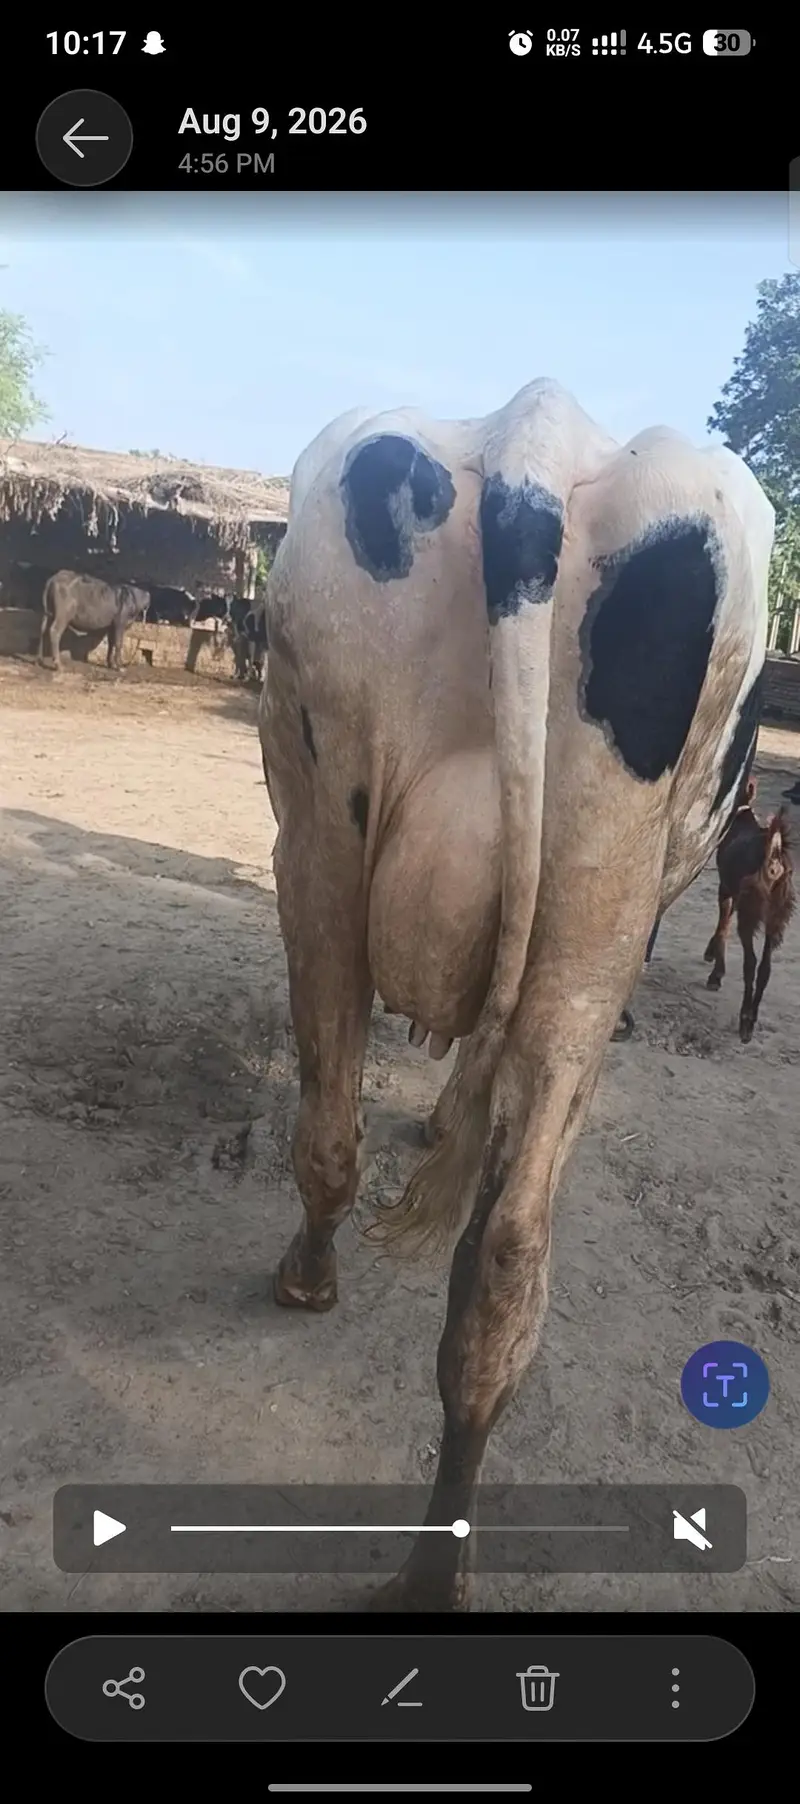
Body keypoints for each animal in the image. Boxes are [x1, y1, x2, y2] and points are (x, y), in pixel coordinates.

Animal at [259, 379, 774, 1612]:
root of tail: (534, 432)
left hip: (316, 832)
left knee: (339, 1128)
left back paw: (309, 1281)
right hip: (584, 913)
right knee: (506, 1244)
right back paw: (431, 1572)